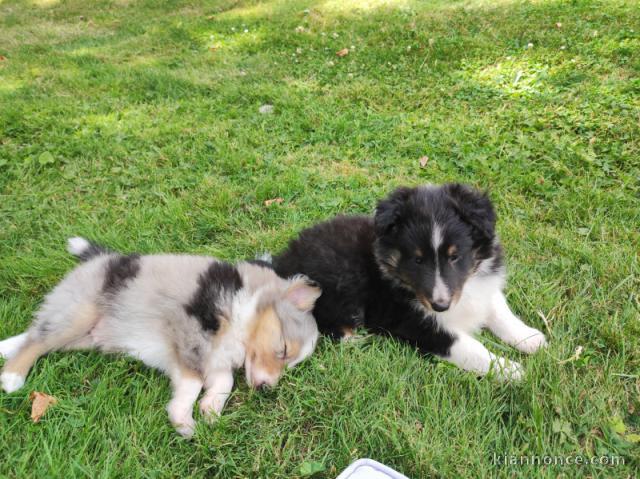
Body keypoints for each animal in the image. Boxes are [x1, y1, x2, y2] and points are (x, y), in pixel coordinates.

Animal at [0, 238, 320, 436]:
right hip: (80, 313)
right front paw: (183, 421)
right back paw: (12, 376)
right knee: (39, 340)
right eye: (283, 349)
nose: (266, 390)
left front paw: (209, 410)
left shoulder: (212, 359)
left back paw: (5, 347)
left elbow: (223, 382)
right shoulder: (188, 338)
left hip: (86, 337)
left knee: (37, 331)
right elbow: (192, 384)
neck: (244, 308)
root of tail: (101, 259)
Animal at [272, 184, 548, 382]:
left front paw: (530, 338)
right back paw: (356, 339)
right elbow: (469, 347)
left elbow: (499, 310)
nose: (440, 306)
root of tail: (282, 261)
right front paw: (510, 370)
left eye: (455, 256)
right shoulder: (415, 322)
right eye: (417, 260)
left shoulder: (481, 287)